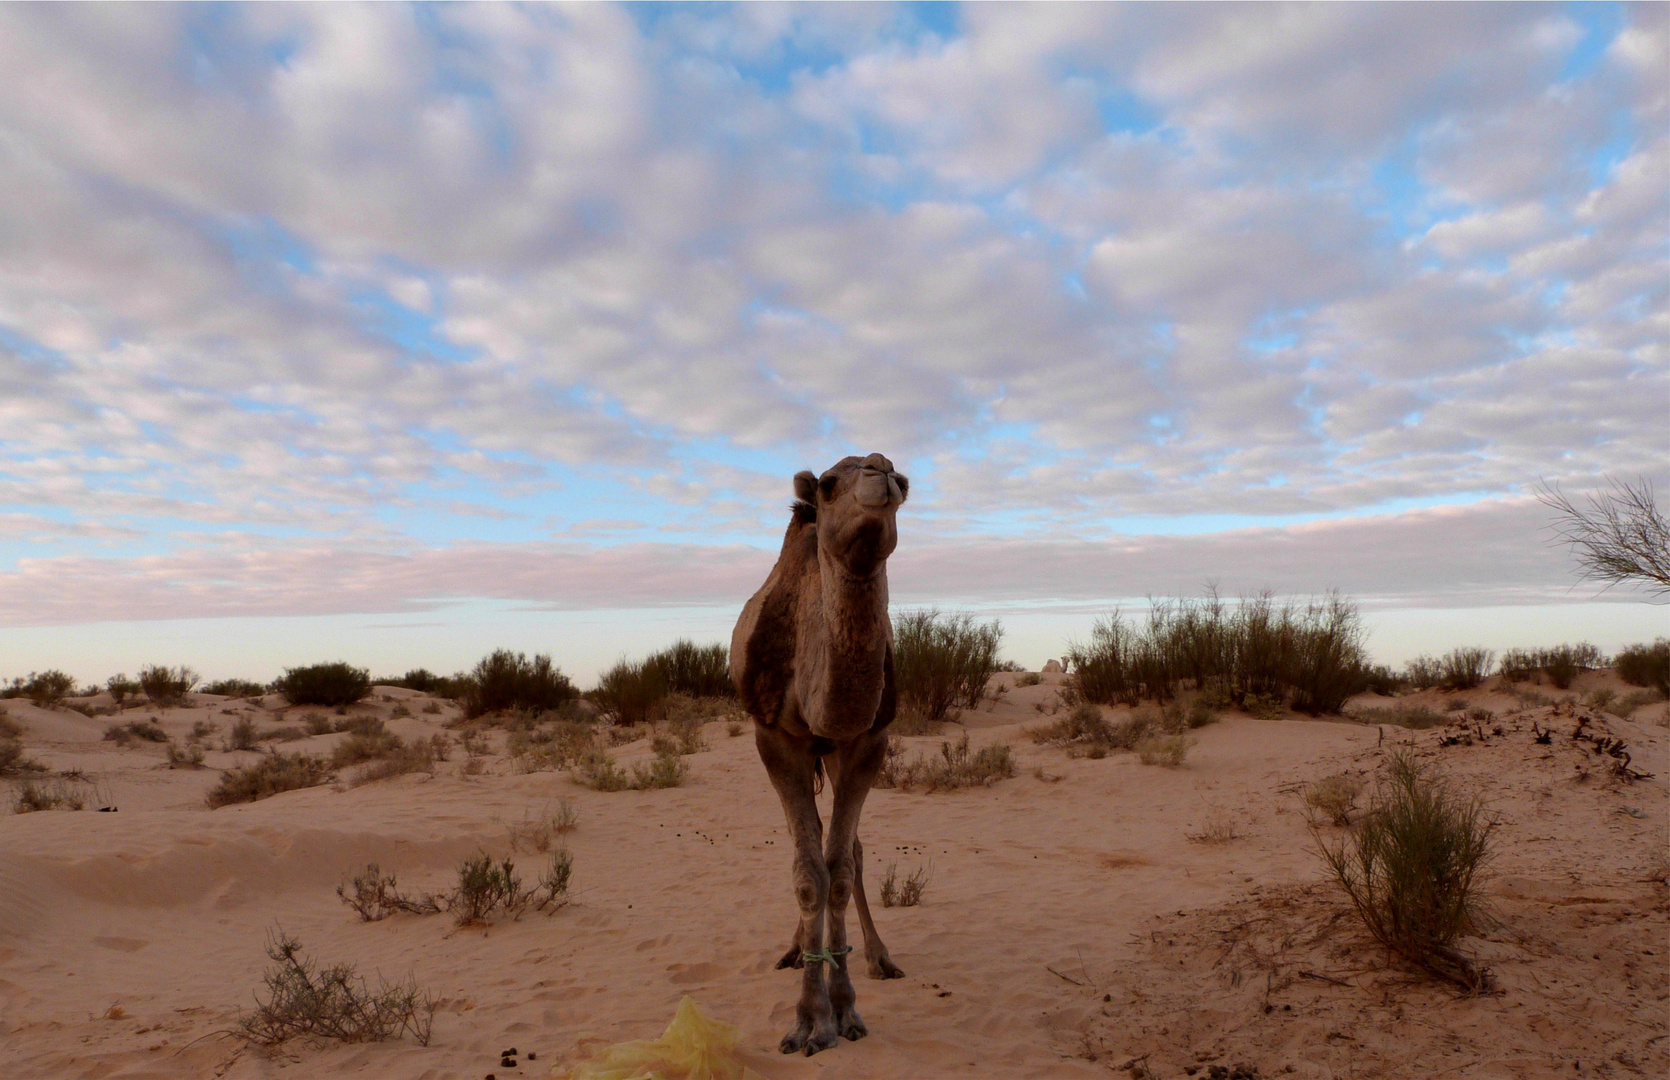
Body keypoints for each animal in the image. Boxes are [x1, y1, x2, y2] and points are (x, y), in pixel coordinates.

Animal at [734, 450, 915, 1054]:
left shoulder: (865, 739)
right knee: (803, 844)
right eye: (830, 485)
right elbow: (807, 873)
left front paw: (844, 1010)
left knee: (847, 849)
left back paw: (878, 956)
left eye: (904, 482)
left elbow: (837, 869)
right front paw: (809, 1020)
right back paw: (794, 949)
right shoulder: (774, 737)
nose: (882, 471)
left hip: (833, 752)